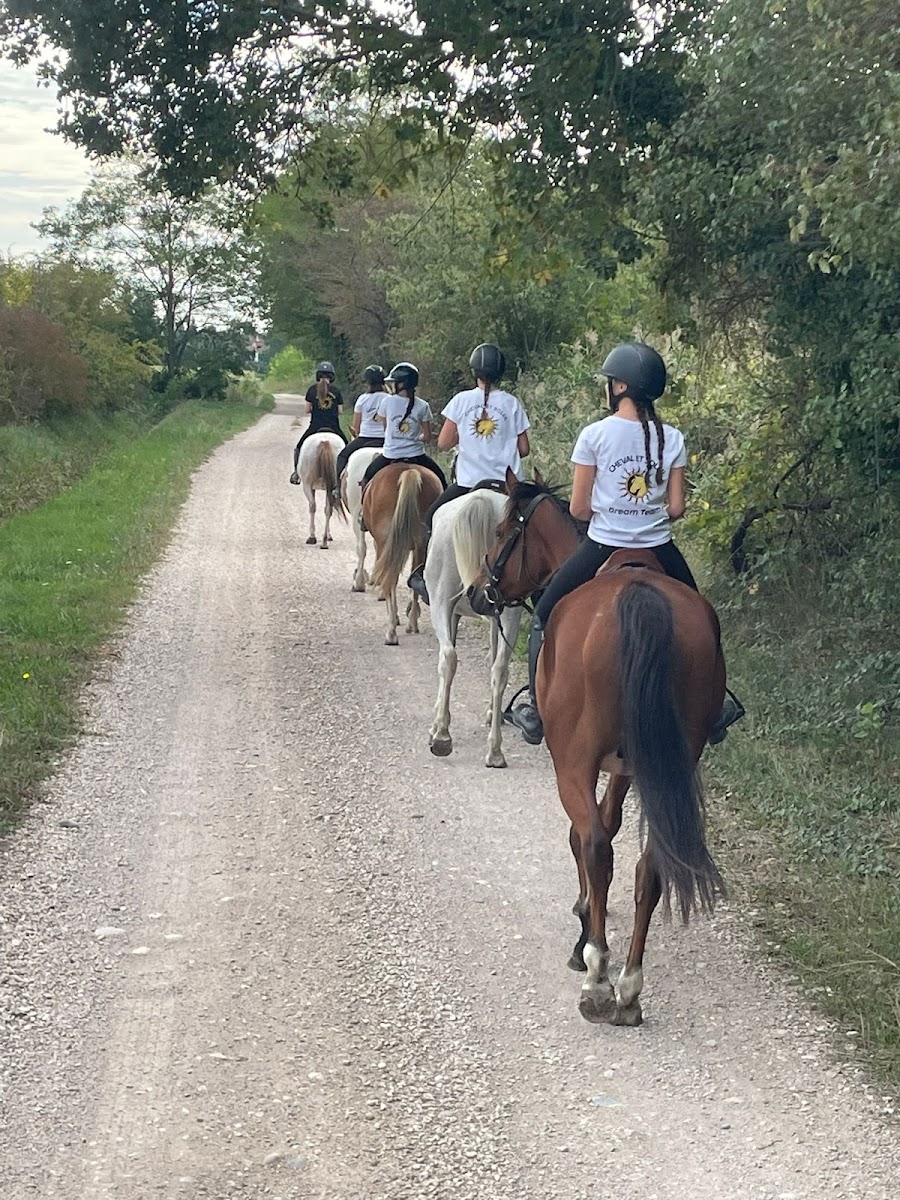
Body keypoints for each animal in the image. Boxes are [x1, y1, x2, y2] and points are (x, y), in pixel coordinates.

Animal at [363, 463, 443, 645]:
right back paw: (412, 623)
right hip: (421, 544)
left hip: (387, 542)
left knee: (391, 580)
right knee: (415, 579)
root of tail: (409, 471)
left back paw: (391, 632)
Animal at [425, 490, 524, 768]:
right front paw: (492, 713)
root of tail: (482, 503)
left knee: (448, 658)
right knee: (500, 668)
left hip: (440, 601)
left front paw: (438, 720)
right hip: (510, 612)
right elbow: (492, 659)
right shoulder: (494, 615)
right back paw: (495, 751)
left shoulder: (453, 614)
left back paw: (442, 737)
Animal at [477, 469, 726, 1026]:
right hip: (672, 760)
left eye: (503, 533)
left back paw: (596, 977)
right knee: (650, 863)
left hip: (573, 760)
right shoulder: (630, 767)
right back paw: (629, 987)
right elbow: (611, 825)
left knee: (593, 843)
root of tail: (639, 598)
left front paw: (583, 925)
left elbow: (584, 836)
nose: (481, 593)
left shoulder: (579, 762)